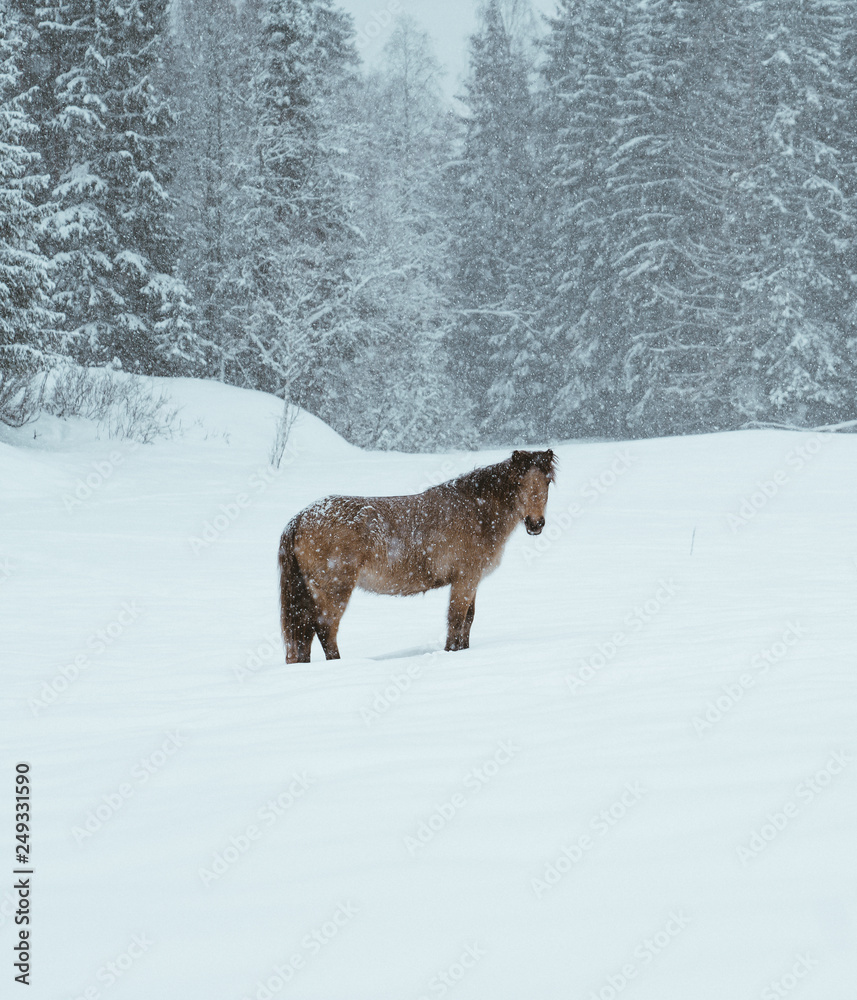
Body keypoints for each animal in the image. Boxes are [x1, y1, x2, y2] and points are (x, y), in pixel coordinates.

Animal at [277, 449, 556, 662]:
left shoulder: (472, 581)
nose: (535, 524)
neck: (477, 512)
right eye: (519, 483)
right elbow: (456, 621)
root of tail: (301, 518)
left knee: (304, 634)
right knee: (326, 630)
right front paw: (451, 652)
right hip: (335, 589)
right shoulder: (464, 579)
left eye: (547, 483)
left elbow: (468, 620)